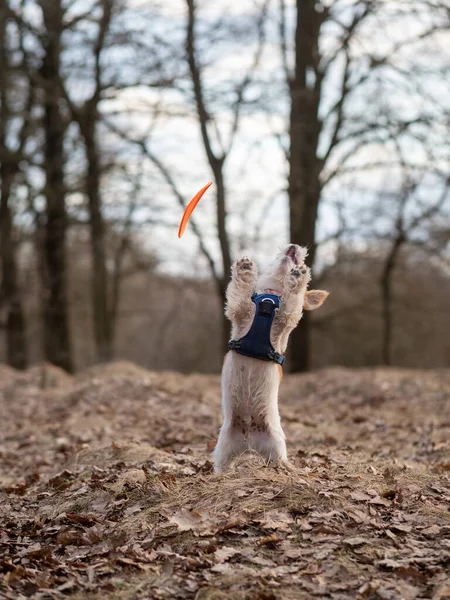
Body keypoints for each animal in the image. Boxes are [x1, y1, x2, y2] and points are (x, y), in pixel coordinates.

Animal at [213, 244, 328, 474]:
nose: (293, 246)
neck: (271, 296)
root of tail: (248, 436)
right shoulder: (239, 311)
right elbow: (239, 290)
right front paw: (245, 268)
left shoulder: (286, 319)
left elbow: (292, 302)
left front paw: (298, 276)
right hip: (223, 450)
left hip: (275, 445)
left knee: (280, 461)